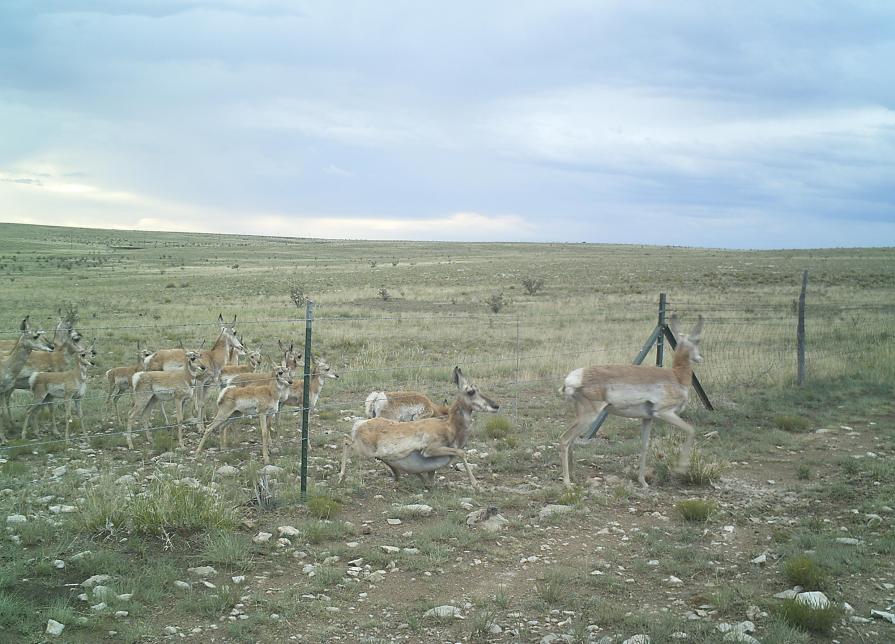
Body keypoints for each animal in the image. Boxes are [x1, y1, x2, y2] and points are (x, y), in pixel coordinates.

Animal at [340, 368, 500, 488]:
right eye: (471, 391)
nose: (496, 406)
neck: (449, 426)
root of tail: (360, 424)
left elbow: (431, 477)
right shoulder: (430, 450)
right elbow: (461, 452)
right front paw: (476, 485)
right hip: (364, 450)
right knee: (346, 441)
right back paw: (341, 476)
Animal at [560, 316, 708, 488]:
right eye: (697, 340)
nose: (700, 357)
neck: (676, 376)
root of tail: (576, 376)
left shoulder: (648, 418)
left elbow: (644, 446)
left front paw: (643, 481)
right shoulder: (665, 413)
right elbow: (691, 430)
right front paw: (681, 469)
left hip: (582, 416)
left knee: (571, 440)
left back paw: (574, 477)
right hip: (589, 416)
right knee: (565, 439)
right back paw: (567, 483)